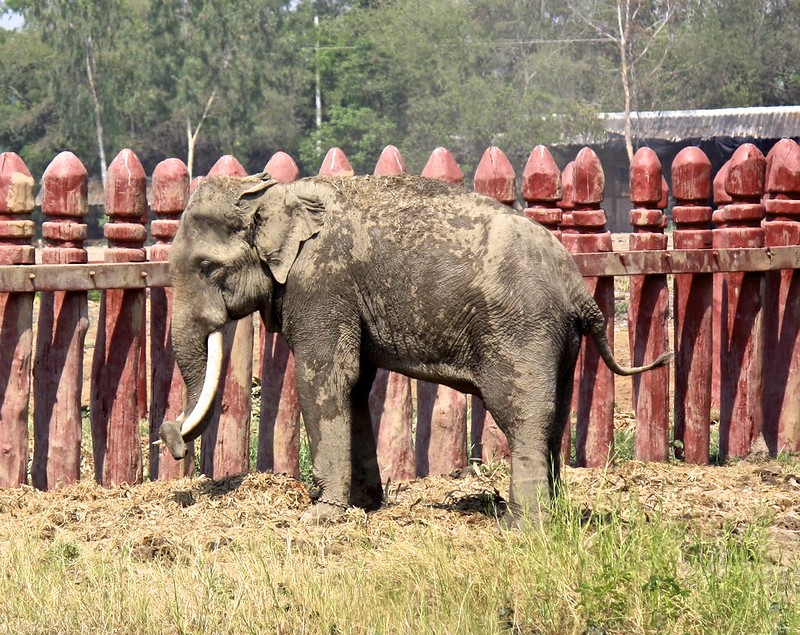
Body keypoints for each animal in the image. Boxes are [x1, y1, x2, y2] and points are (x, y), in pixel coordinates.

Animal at [158, 171, 670, 526]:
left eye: (208, 268)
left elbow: (324, 377)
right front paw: (365, 506)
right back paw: (555, 515)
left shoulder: (321, 284)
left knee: (523, 413)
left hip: (521, 331)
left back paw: (522, 526)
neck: (275, 193)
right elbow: (355, 384)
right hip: (559, 340)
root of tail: (577, 286)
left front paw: (320, 516)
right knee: (555, 415)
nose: (171, 439)